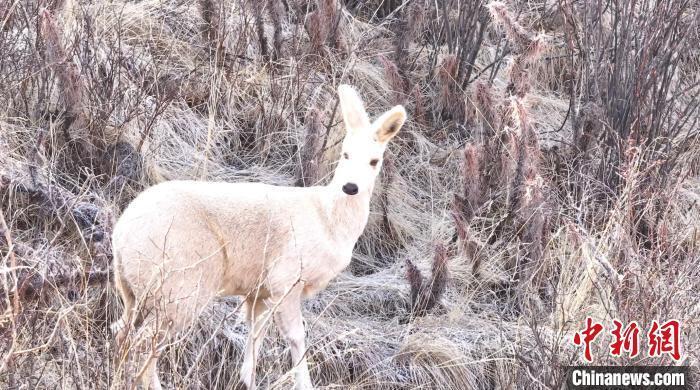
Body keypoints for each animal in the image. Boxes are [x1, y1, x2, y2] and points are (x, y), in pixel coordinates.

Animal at [112, 85, 408, 390]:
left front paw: (247, 380)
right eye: (345, 154)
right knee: (143, 342)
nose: (350, 187)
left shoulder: (260, 291)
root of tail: (120, 235)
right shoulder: (286, 277)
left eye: (374, 161)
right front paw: (303, 384)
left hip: (133, 290)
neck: (327, 219)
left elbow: (256, 335)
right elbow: (296, 336)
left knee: (121, 332)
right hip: (179, 286)